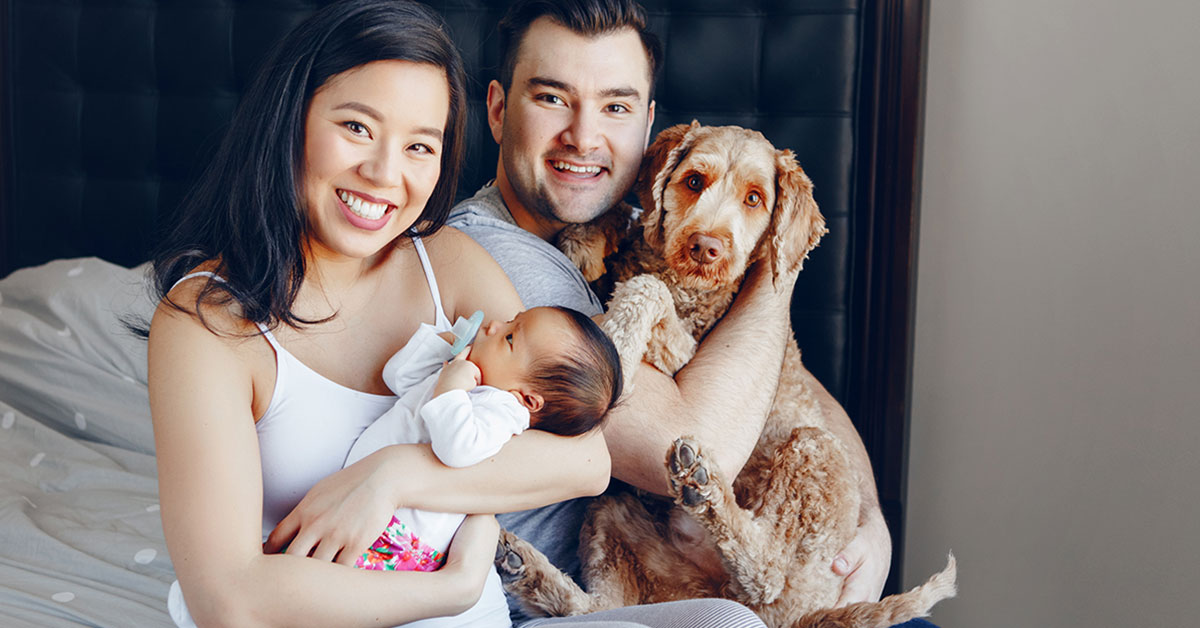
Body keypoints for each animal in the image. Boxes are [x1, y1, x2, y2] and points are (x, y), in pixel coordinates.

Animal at [492, 123, 950, 628]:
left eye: (754, 198)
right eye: (694, 181)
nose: (705, 248)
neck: (684, 283)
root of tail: (803, 614)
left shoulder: (688, 352)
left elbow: (645, 290)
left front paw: (616, 340)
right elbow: (627, 221)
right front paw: (586, 240)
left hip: (814, 452)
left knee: (767, 571)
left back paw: (705, 488)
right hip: (615, 515)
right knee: (601, 607)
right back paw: (525, 568)